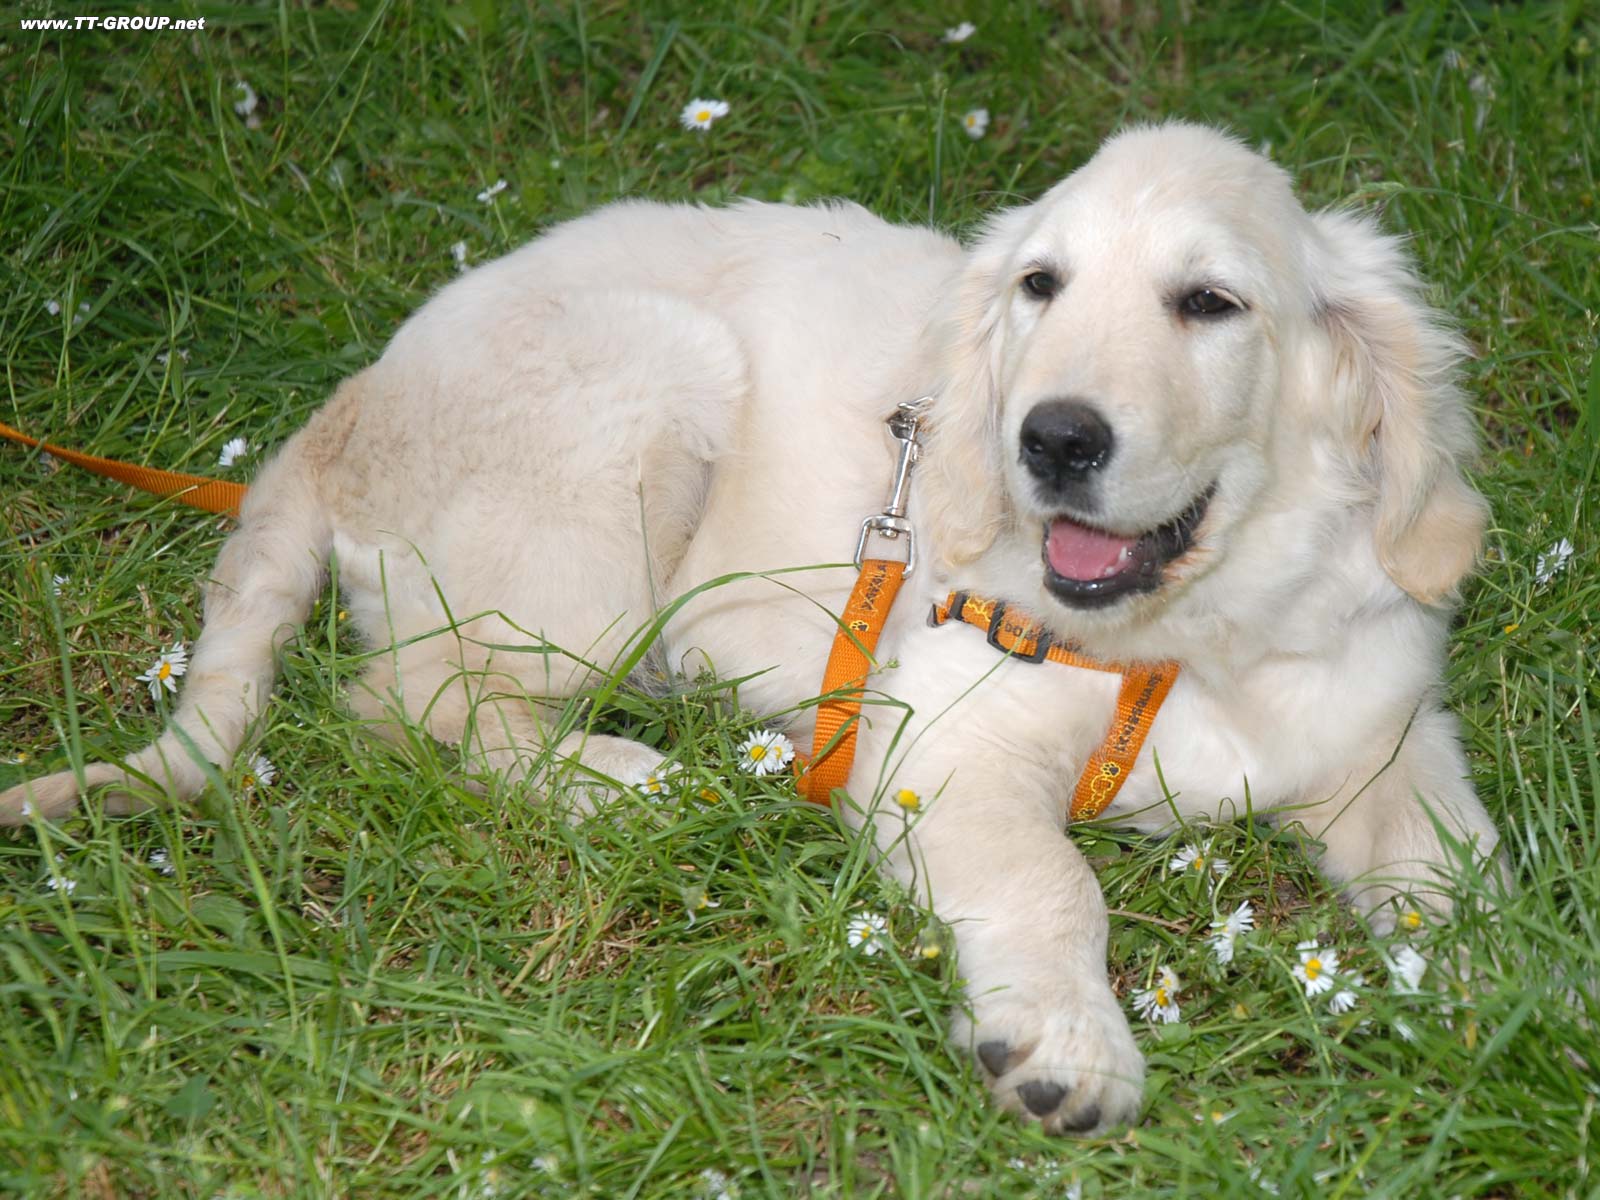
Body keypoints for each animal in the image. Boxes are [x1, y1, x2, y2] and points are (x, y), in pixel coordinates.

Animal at [0, 122, 1497, 1139]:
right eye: (1041, 288)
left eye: (1210, 304)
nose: (1051, 441)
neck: (1190, 633)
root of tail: (351, 400)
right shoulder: (941, 742)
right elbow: (1050, 879)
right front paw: (1065, 1048)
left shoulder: (1386, 727)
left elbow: (1469, 869)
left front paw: (1498, 997)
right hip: (643, 396)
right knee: (404, 701)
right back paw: (618, 778)